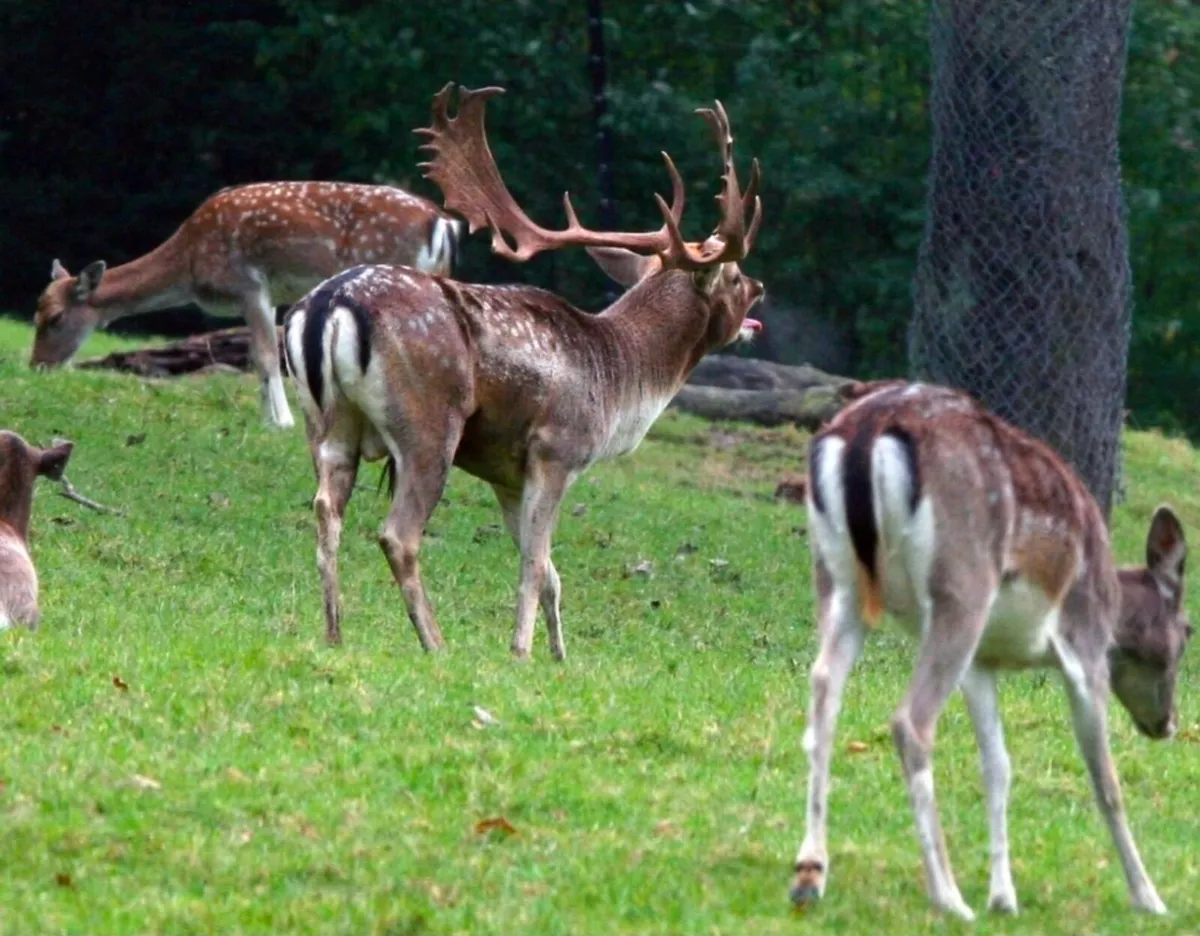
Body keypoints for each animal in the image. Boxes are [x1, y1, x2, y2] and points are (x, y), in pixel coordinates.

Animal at [31, 181, 464, 429]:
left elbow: (269, 355)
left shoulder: (248, 284)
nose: (36, 365)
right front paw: (265, 419)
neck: (189, 262)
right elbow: (257, 357)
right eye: (35, 311)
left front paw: (284, 422)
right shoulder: (264, 296)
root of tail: (441, 224)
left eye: (55, 318)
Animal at [282, 83, 764, 659]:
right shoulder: (556, 451)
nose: (760, 289)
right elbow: (535, 565)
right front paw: (521, 652)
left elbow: (552, 574)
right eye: (733, 275)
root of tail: (330, 302)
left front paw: (559, 657)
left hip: (327, 423)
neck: (619, 379)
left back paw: (334, 633)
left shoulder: (505, 473)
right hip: (428, 422)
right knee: (398, 534)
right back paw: (436, 644)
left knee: (324, 509)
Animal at [790, 380, 1191, 920]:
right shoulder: (1084, 649)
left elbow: (998, 766)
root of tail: (869, 429)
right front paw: (1149, 897)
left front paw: (1004, 897)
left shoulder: (982, 662)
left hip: (836, 577)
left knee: (823, 691)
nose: (1167, 723)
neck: (1113, 603)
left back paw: (809, 874)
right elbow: (1105, 779)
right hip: (962, 584)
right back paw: (948, 896)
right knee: (910, 720)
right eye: (1188, 631)